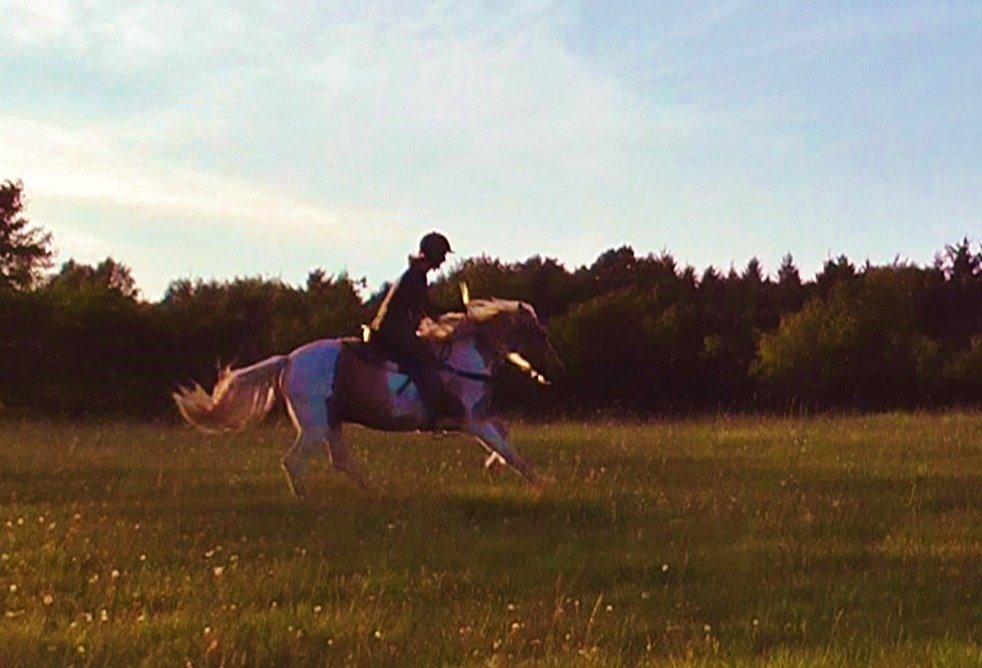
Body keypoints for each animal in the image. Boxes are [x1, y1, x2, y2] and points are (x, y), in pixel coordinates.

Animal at [173, 290, 564, 498]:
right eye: (540, 334)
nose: (556, 371)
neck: (463, 355)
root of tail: (288, 360)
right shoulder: (472, 420)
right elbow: (509, 450)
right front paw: (542, 483)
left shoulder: (477, 418)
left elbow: (505, 437)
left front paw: (495, 469)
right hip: (315, 425)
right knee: (294, 461)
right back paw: (307, 500)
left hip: (332, 423)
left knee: (340, 461)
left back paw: (372, 493)